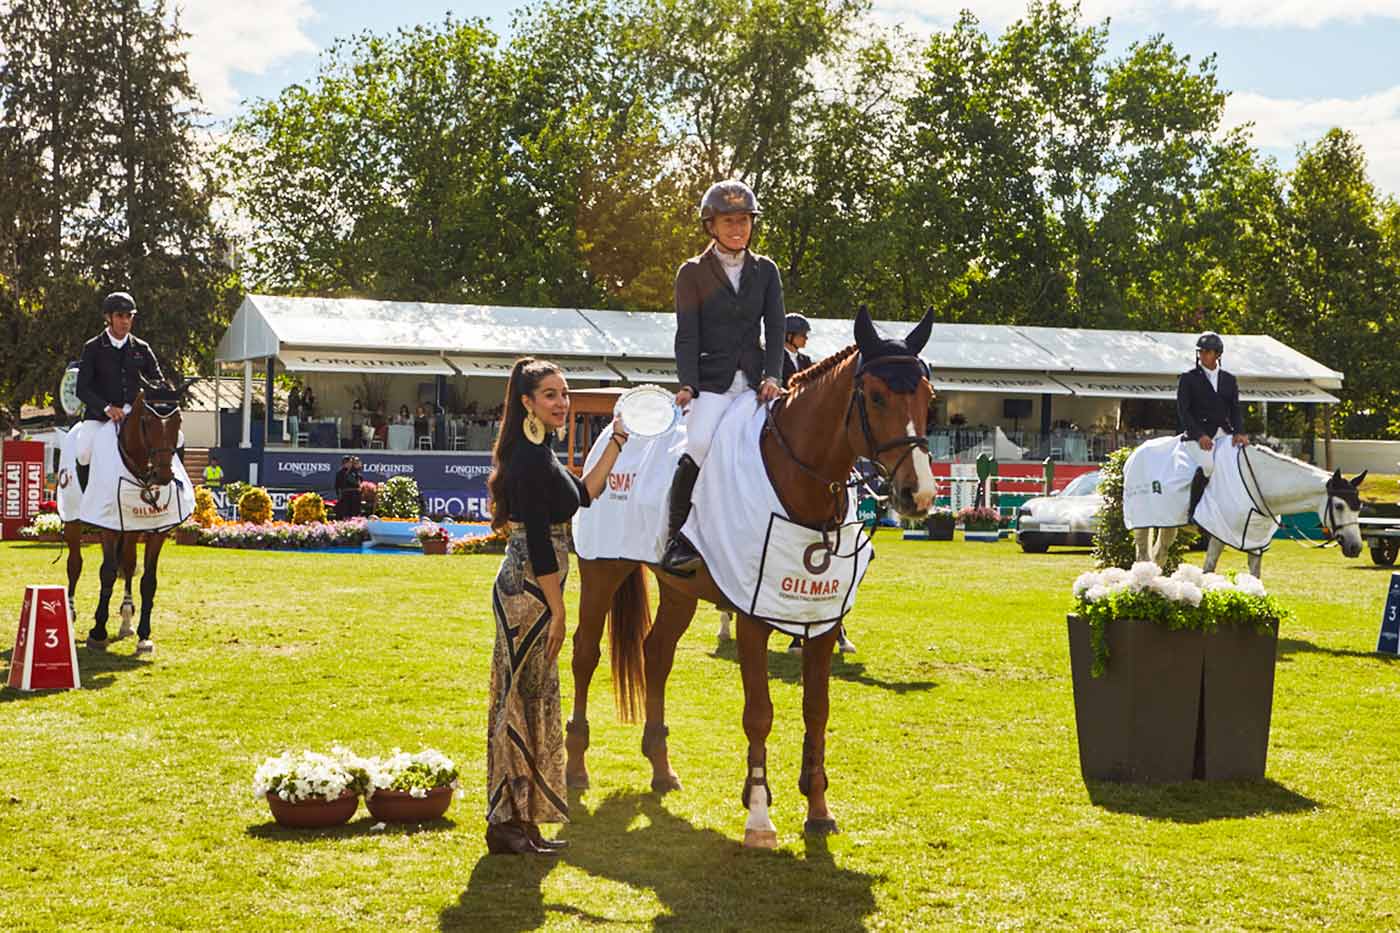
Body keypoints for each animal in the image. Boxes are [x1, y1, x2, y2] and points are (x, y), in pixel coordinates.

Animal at [68, 383, 187, 652]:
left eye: (178, 420)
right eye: (147, 421)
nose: (163, 475)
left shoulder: (158, 530)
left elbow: (148, 580)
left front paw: (144, 634)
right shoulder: (108, 526)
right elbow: (107, 573)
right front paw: (98, 632)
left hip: (131, 529)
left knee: (130, 565)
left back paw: (126, 620)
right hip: (72, 519)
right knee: (74, 564)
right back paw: (68, 614)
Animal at [1131, 442, 1360, 574]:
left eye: (1359, 508)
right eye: (1339, 506)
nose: (1355, 547)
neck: (1257, 483)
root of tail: (1135, 452)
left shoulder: (1255, 540)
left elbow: (1255, 577)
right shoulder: (1219, 534)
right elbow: (1208, 570)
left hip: (1168, 523)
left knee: (1159, 554)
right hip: (1142, 523)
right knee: (1142, 556)